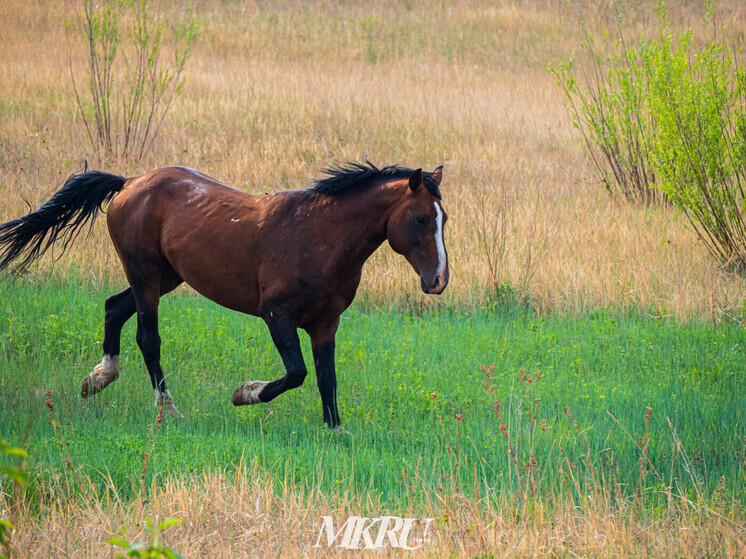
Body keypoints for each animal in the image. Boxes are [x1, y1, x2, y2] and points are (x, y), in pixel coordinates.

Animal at [0, 160, 448, 430]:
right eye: (420, 218)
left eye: (444, 218)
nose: (438, 280)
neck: (319, 235)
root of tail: (129, 184)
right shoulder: (277, 316)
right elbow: (297, 373)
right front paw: (244, 393)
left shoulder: (326, 323)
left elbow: (326, 378)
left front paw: (335, 430)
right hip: (145, 275)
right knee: (148, 339)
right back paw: (168, 409)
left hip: (166, 276)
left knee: (114, 307)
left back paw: (98, 378)